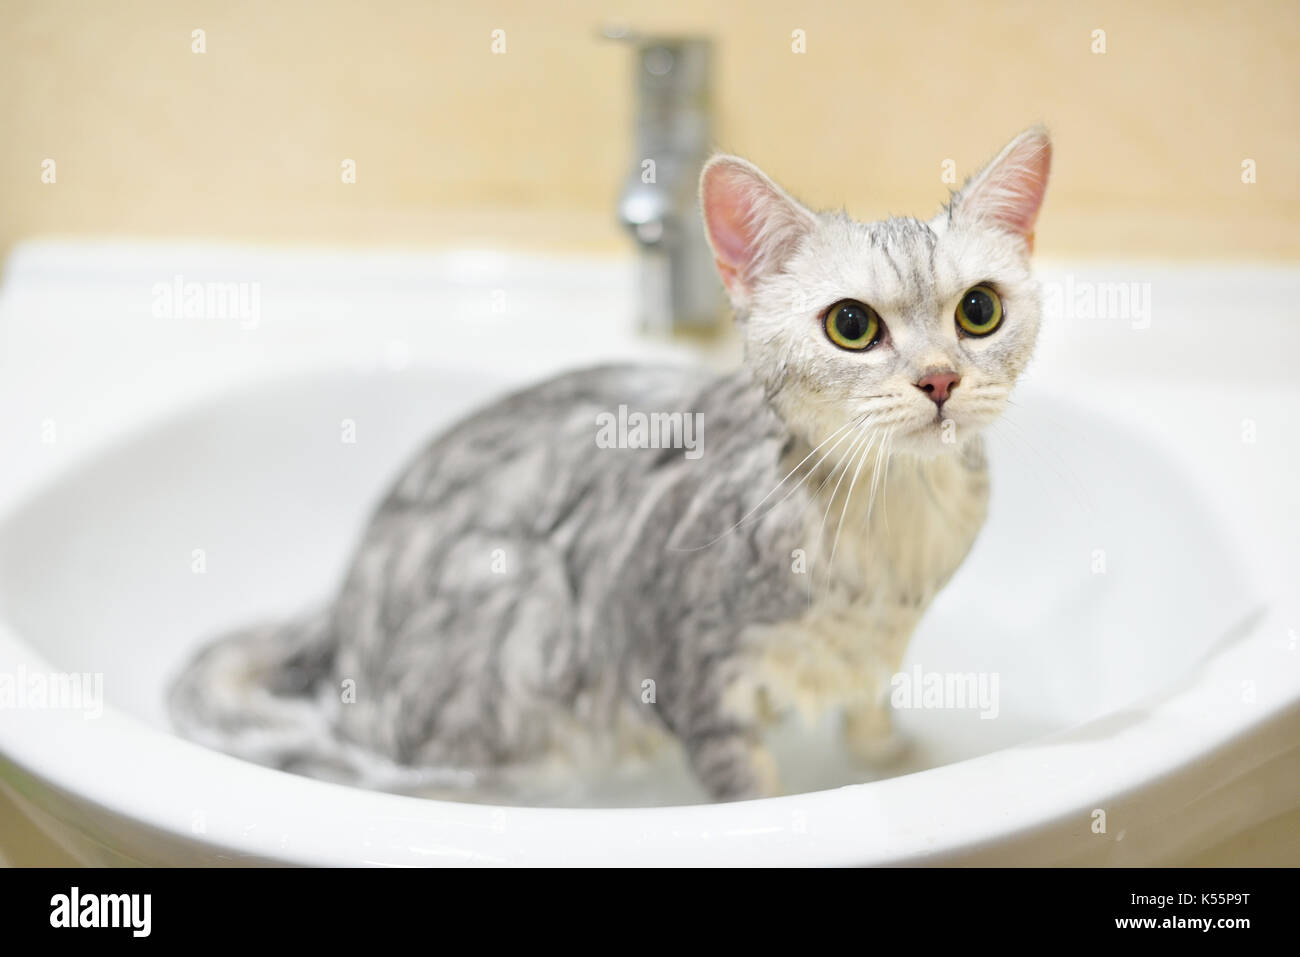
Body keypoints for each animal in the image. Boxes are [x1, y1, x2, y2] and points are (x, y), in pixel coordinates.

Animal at [167, 127, 1050, 800]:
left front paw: (905, 761)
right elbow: (749, 787)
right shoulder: (692, 675)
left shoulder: (874, 657)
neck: (888, 536)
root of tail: (340, 610)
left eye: (979, 310)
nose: (939, 379)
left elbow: (871, 721)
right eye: (852, 326)